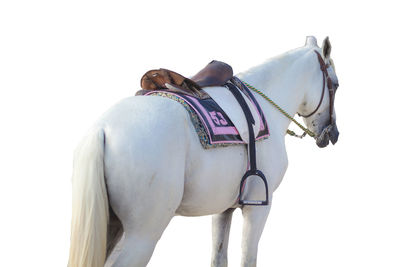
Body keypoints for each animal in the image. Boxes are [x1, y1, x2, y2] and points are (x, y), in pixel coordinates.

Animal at [69, 36, 340, 267]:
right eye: (336, 85)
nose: (333, 134)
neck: (265, 107)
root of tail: (102, 129)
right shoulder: (258, 209)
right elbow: (247, 259)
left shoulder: (224, 210)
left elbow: (219, 258)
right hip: (141, 236)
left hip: (110, 227)